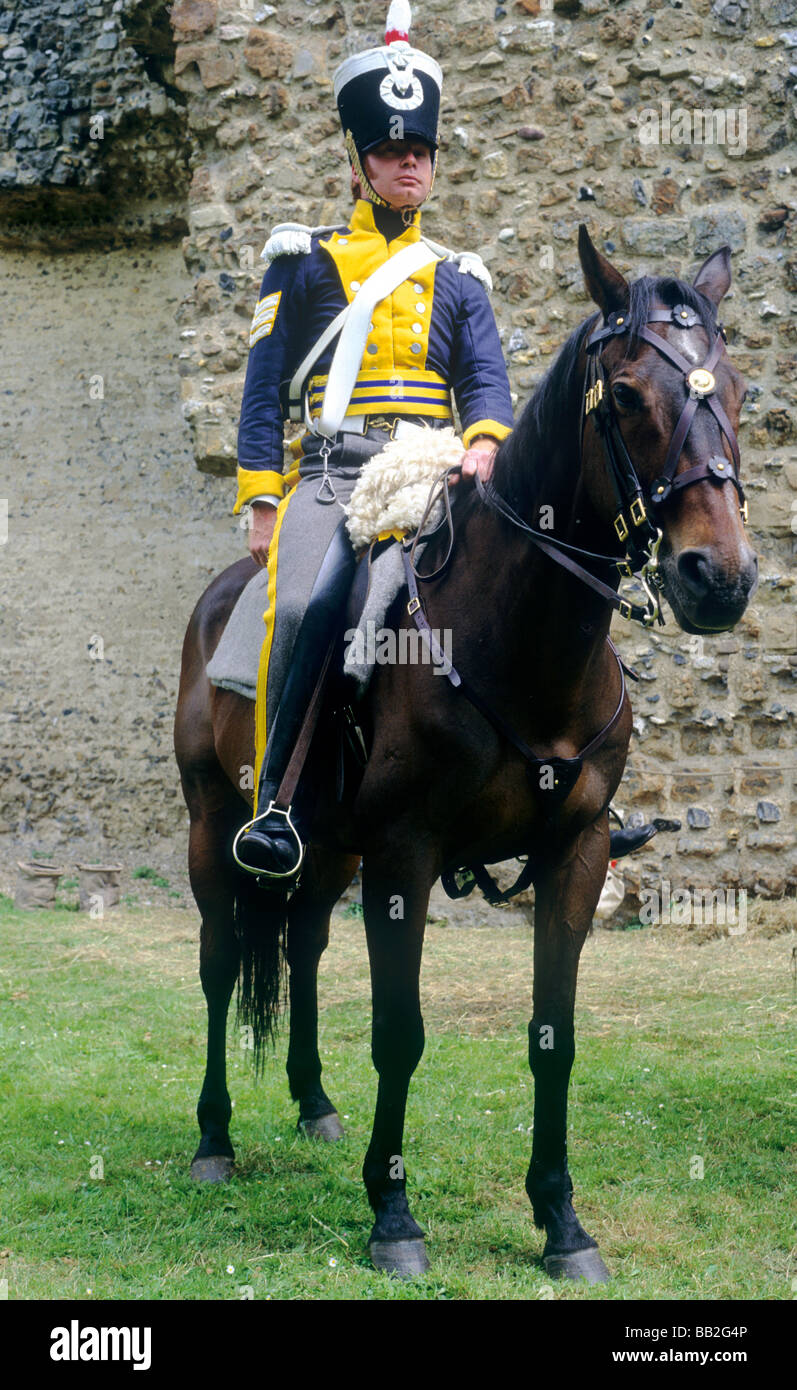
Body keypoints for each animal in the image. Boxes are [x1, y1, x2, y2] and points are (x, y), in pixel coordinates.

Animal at [175, 227, 756, 1278]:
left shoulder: (572, 855)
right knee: (219, 960)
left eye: (736, 393)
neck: (518, 641)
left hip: (329, 851)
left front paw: (561, 1220)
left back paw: (314, 1103)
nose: (719, 577)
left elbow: (552, 1035)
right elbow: (399, 1033)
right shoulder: (405, 856)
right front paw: (394, 1216)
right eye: (628, 398)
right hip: (214, 824)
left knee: (305, 944)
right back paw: (213, 1139)